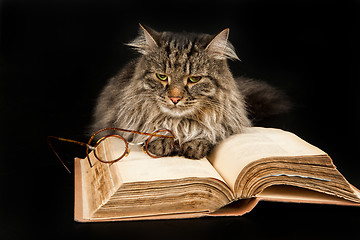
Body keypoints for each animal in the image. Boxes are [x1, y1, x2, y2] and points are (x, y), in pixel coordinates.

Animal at [90, 24, 290, 159]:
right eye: (162, 77)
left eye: (194, 79)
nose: (175, 98)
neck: (180, 125)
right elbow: (150, 130)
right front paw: (162, 141)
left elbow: (208, 132)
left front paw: (195, 144)